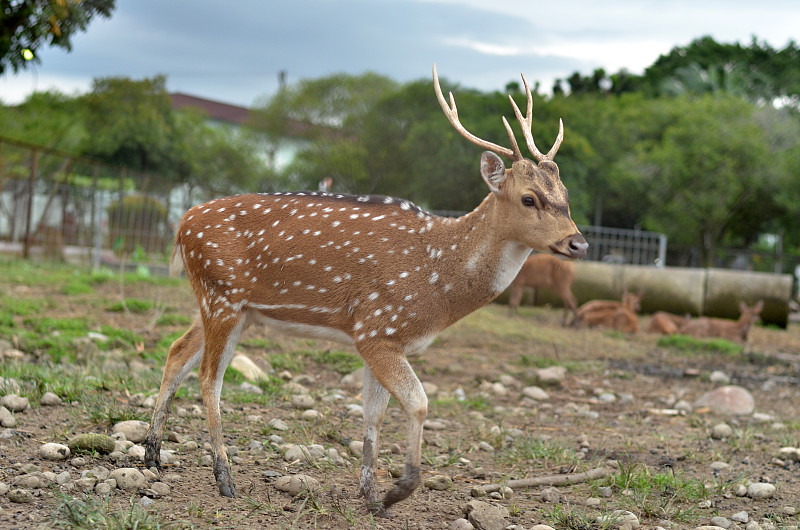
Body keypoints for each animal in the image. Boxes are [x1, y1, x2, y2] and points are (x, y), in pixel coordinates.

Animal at [142, 64, 588, 512]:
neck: (438, 284)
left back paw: (152, 455)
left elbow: (373, 414)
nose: (579, 243)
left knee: (176, 351)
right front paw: (399, 490)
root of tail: (181, 226)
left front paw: (370, 494)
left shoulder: (384, 337)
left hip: (231, 307)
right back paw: (224, 477)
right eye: (529, 199)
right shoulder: (378, 328)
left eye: (566, 195)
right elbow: (420, 403)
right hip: (222, 297)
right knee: (209, 376)